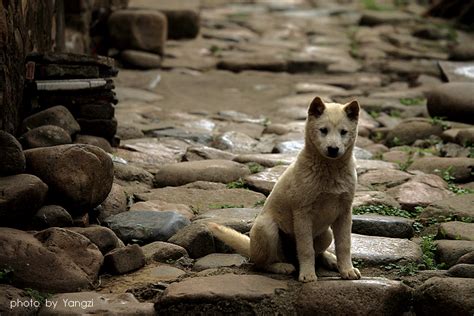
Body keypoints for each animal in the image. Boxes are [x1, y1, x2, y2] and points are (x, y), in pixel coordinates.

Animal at [209, 96, 362, 282]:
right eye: (323, 130)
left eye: (343, 132)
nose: (333, 149)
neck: (330, 170)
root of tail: (251, 248)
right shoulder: (302, 213)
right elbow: (306, 249)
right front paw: (308, 275)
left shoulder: (344, 213)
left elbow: (344, 245)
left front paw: (347, 270)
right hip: (267, 228)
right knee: (262, 263)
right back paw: (282, 267)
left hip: (326, 234)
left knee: (316, 253)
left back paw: (330, 259)